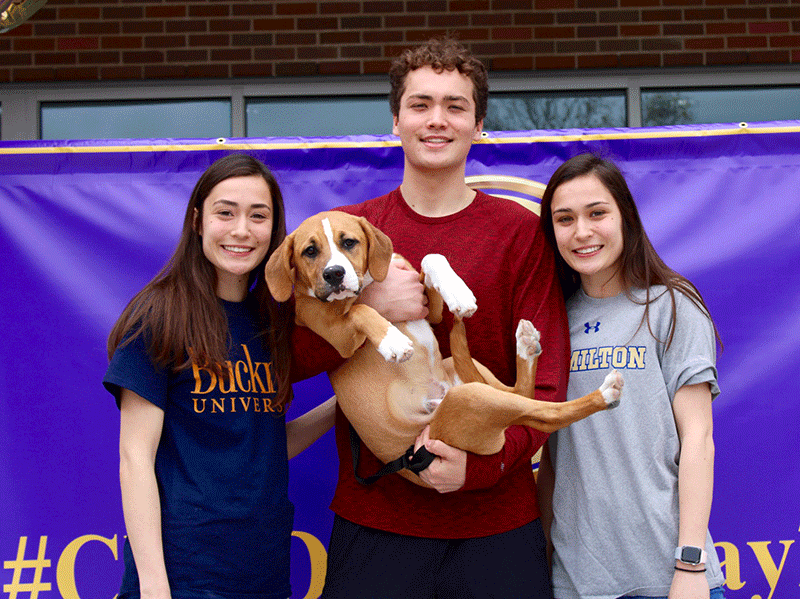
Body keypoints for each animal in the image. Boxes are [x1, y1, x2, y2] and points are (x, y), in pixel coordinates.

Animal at [266, 211, 620, 488]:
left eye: (349, 242)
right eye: (310, 250)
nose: (334, 274)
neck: (367, 283)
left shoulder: (427, 307)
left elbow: (431, 259)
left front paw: (457, 292)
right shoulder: (336, 336)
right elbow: (361, 310)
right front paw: (392, 340)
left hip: (468, 375)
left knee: (522, 393)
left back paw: (526, 347)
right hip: (472, 399)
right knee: (544, 413)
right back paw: (602, 393)